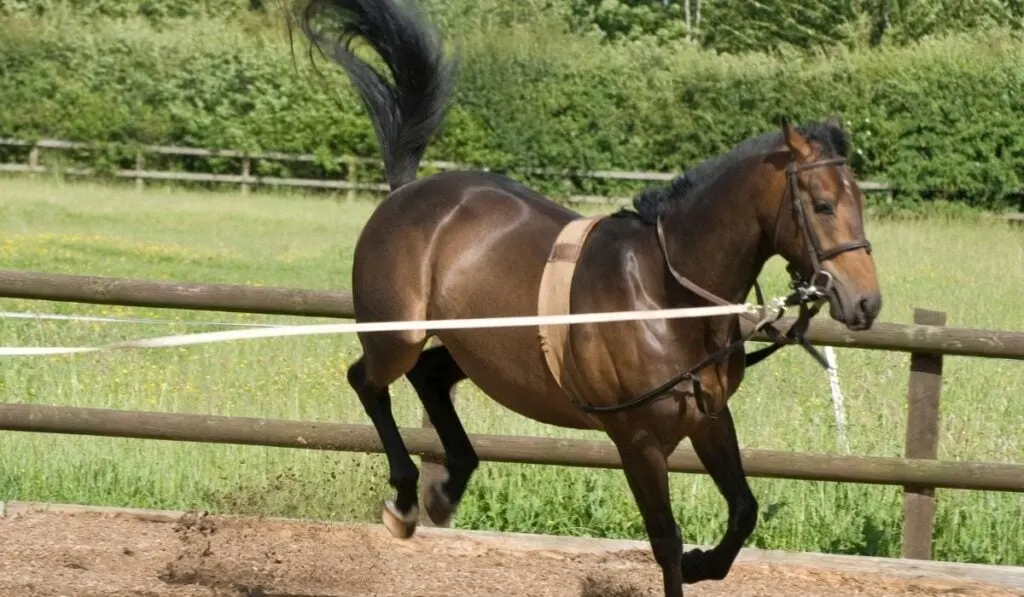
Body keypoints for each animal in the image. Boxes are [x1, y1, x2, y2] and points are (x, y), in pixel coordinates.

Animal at [292, 0, 882, 595]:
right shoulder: (638, 440)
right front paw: (688, 561)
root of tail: (407, 191)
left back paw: (446, 485)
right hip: (398, 337)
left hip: (480, 351)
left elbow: (743, 511)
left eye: (859, 201)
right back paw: (406, 498)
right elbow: (665, 542)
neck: (666, 297)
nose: (866, 303)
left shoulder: (710, 419)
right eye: (823, 204)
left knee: (429, 376)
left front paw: (703, 563)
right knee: (367, 381)